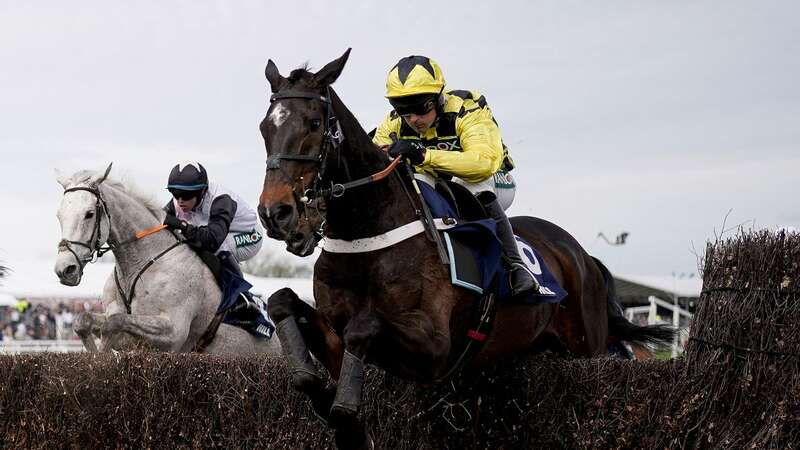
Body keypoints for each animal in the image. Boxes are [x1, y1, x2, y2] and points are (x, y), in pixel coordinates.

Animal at [52, 163, 282, 356]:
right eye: (59, 215)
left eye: (89, 214)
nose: (65, 269)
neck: (138, 265)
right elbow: (84, 320)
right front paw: (95, 354)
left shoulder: (173, 332)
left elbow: (114, 323)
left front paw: (102, 354)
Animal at [260, 47, 672, 448]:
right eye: (265, 127)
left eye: (314, 123)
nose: (275, 213)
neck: (369, 233)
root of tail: (585, 257)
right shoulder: (337, 335)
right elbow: (282, 303)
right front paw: (331, 407)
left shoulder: (434, 349)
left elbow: (363, 327)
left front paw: (347, 420)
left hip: (588, 346)